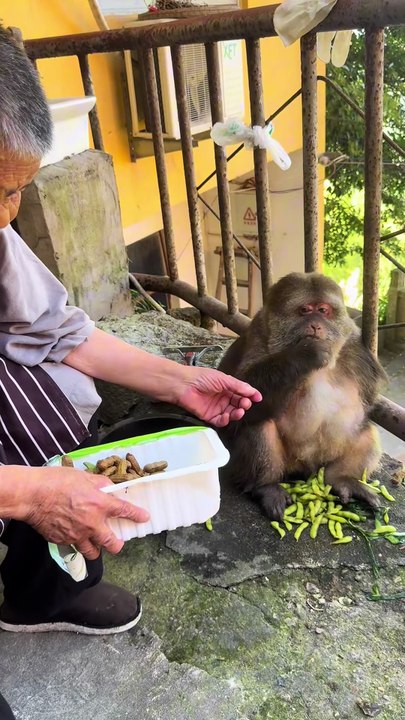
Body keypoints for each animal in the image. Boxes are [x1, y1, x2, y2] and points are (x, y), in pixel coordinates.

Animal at [217, 272, 387, 521]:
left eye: (323, 310)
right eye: (305, 310)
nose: (316, 325)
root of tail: (306, 468)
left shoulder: (356, 346)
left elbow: (369, 400)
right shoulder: (258, 335)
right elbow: (241, 398)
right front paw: (306, 352)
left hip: (324, 460)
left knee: (367, 431)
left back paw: (341, 479)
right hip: (288, 462)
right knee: (260, 425)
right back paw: (265, 486)